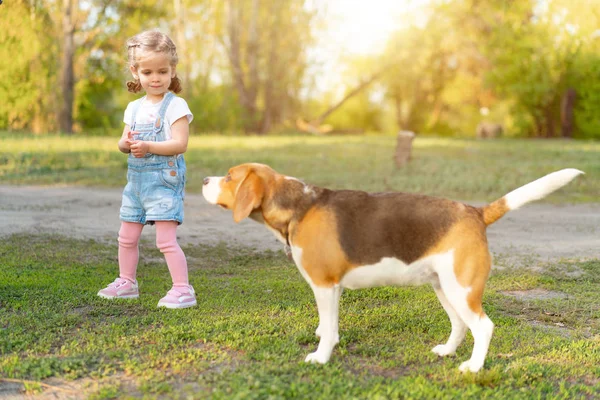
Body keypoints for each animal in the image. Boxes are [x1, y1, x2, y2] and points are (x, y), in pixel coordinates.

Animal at [202, 163, 580, 372]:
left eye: (230, 176)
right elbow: (327, 323)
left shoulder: (325, 285)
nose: (204, 180)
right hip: (444, 288)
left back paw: (473, 367)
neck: (298, 206)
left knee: (483, 327)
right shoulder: (330, 289)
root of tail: (475, 212)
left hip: (462, 289)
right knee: (461, 325)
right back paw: (447, 351)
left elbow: (330, 328)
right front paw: (323, 337)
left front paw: (321, 357)